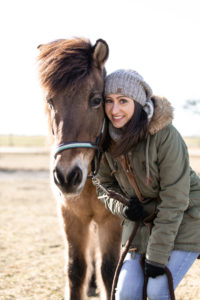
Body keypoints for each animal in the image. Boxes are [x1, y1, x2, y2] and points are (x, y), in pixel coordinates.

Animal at [38, 38, 122, 300]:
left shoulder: (112, 220)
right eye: (50, 101)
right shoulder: (71, 216)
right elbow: (76, 269)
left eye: (96, 100)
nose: (66, 176)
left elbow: (110, 270)